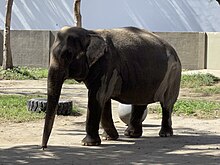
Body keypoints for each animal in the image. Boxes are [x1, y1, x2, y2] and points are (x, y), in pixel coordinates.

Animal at [41, 26, 180, 149]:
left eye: (67, 54)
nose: (44, 147)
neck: (90, 32)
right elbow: (104, 100)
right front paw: (109, 137)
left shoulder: (107, 65)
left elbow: (97, 97)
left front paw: (88, 144)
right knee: (140, 102)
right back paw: (131, 134)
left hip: (173, 74)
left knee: (166, 104)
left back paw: (165, 134)